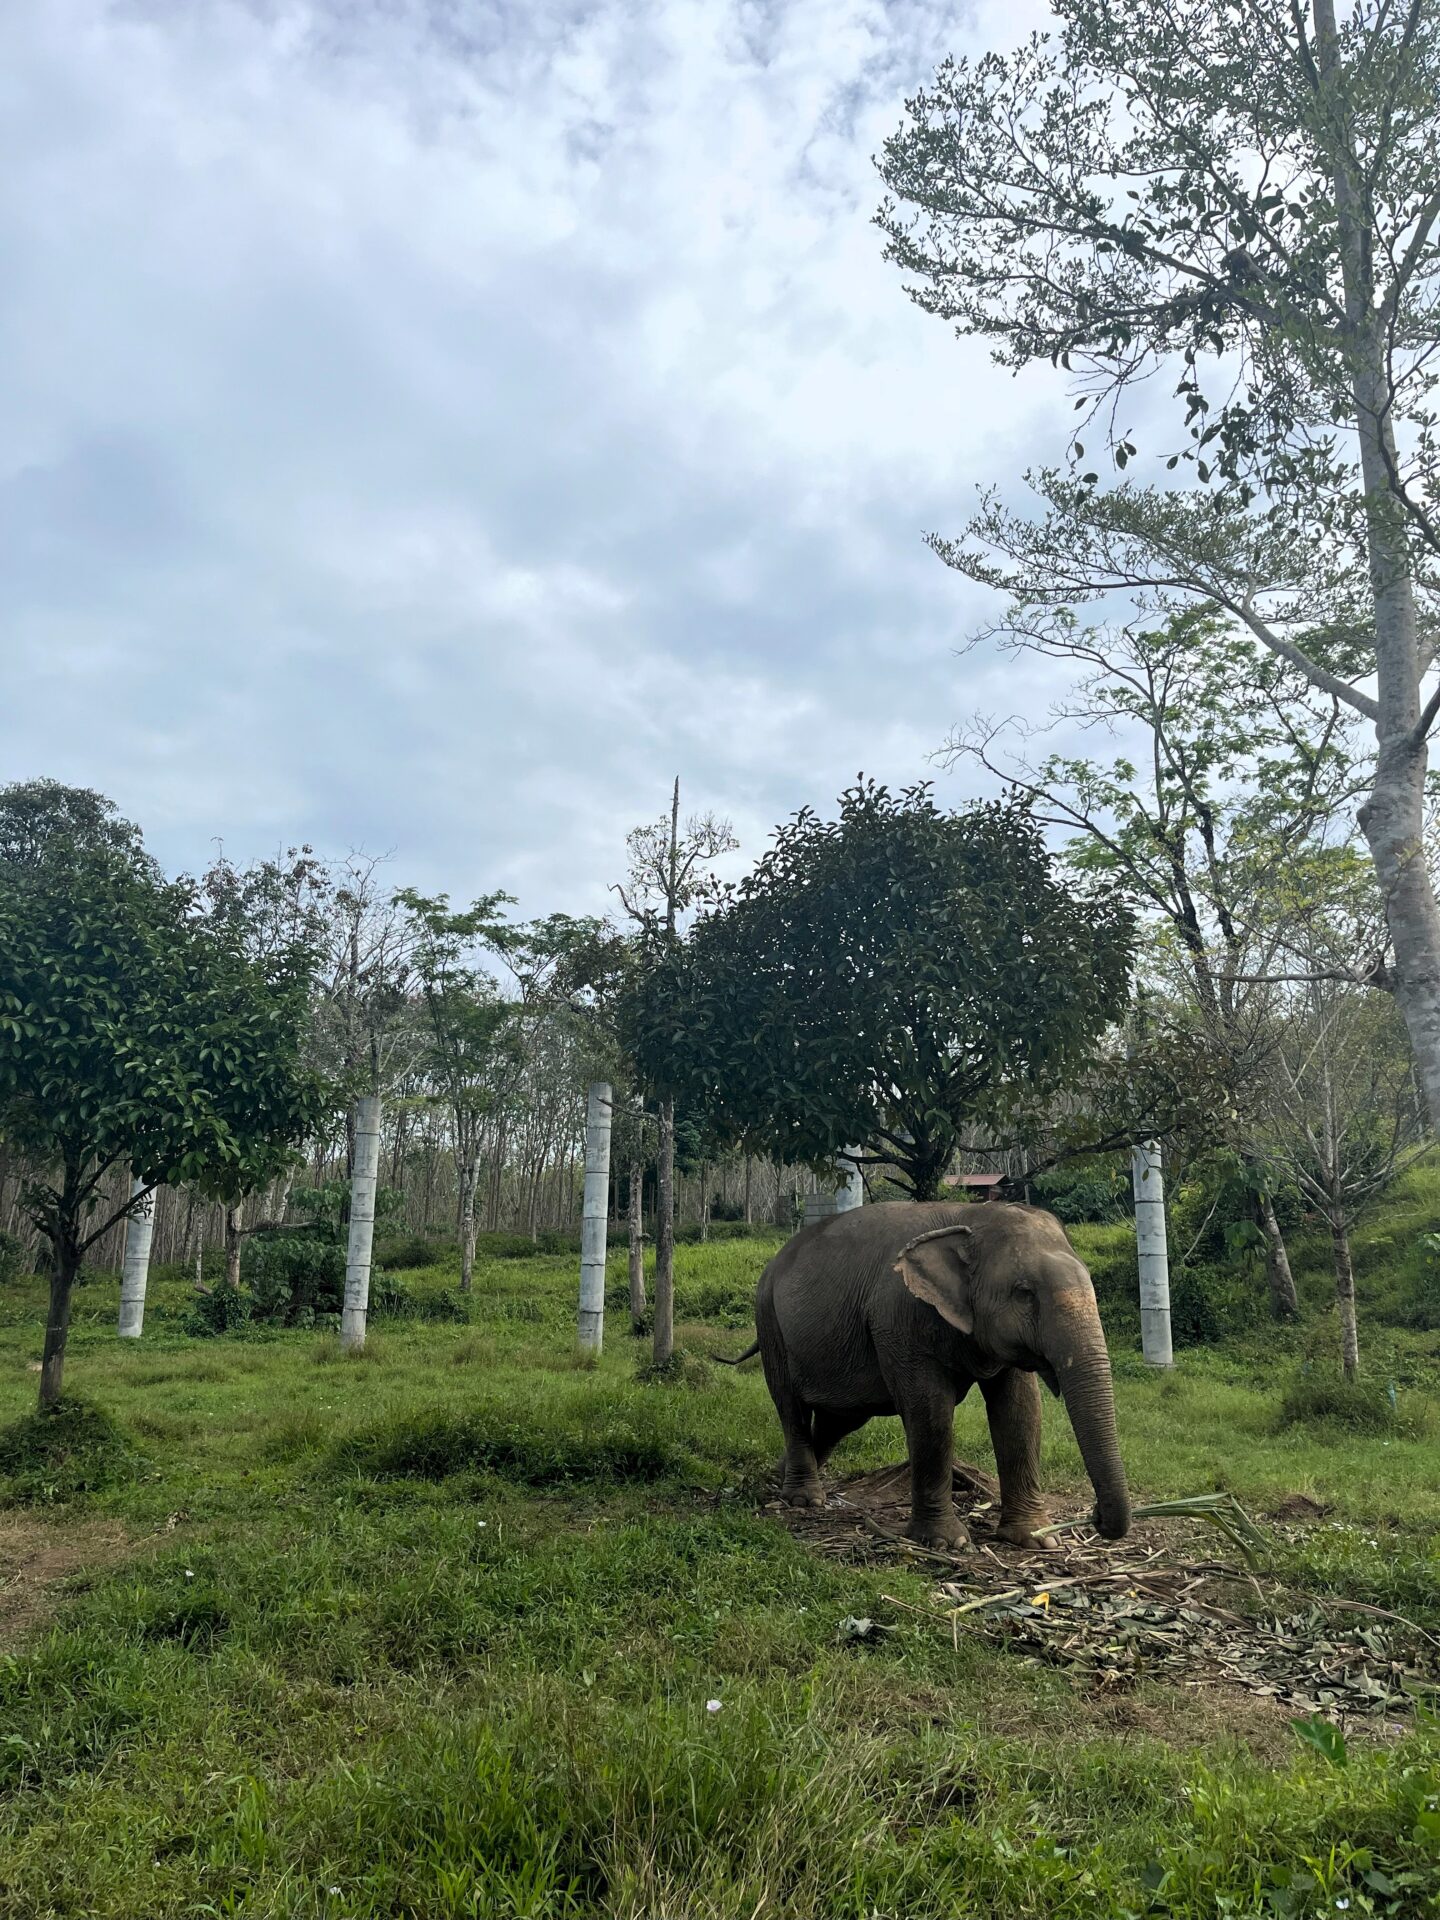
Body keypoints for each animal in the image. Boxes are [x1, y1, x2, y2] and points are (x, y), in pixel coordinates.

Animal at [737, 1198, 1136, 1543]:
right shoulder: (899, 1318)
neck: (969, 1217)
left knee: (841, 1418)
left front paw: (1034, 1538)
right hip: (769, 1320)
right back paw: (804, 1498)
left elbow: (1020, 1411)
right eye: (1024, 1293)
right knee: (790, 1404)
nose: (1097, 1516)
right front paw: (947, 1542)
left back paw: (782, 1472)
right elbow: (930, 1411)